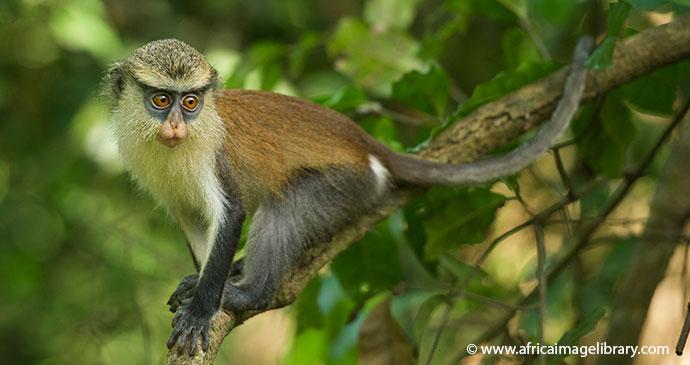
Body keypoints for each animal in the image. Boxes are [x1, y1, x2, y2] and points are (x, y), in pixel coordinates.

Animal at [107, 38, 592, 354]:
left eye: (189, 102)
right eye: (161, 100)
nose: (176, 126)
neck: (178, 146)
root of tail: (368, 145)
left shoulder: (214, 160)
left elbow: (231, 216)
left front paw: (204, 308)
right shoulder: (170, 188)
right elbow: (194, 222)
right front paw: (202, 280)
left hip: (348, 184)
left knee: (285, 206)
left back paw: (251, 292)